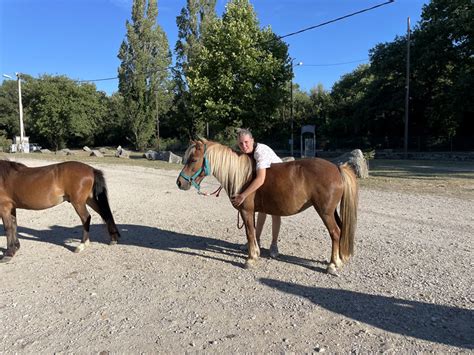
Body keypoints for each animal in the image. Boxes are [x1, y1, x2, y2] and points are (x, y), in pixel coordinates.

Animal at [176, 139, 358, 276]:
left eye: (193, 160)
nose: (180, 183)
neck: (243, 177)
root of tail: (337, 168)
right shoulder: (252, 212)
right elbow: (254, 232)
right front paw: (255, 252)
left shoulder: (246, 211)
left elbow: (250, 233)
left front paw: (250, 259)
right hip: (332, 212)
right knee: (341, 230)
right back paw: (339, 259)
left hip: (325, 212)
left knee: (335, 233)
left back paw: (332, 265)